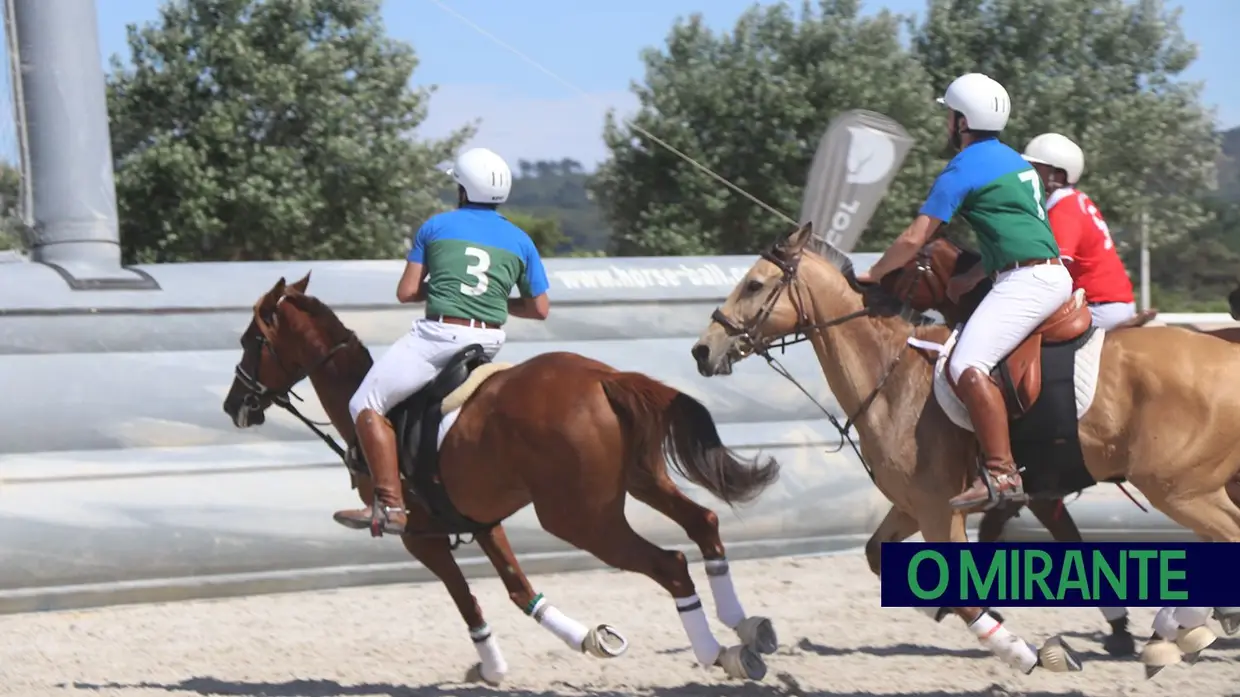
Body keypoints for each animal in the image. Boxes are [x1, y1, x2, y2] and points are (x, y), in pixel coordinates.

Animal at [221, 274, 778, 679]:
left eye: (252, 340)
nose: (233, 405)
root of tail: (605, 378)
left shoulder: (421, 537)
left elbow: (466, 600)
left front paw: (492, 668)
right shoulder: (482, 521)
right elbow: (517, 589)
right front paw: (589, 639)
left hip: (581, 519)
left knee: (671, 564)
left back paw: (717, 652)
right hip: (640, 482)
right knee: (704, 523)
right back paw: (746, 628)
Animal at [694, 220, 1240, 674]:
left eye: (754, 285)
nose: (703, 349)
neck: (890, 374)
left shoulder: (942, 509)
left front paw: (1024, 651)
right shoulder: (915, 506)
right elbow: (880, 557)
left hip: (1180, 491)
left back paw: (1181, 629)